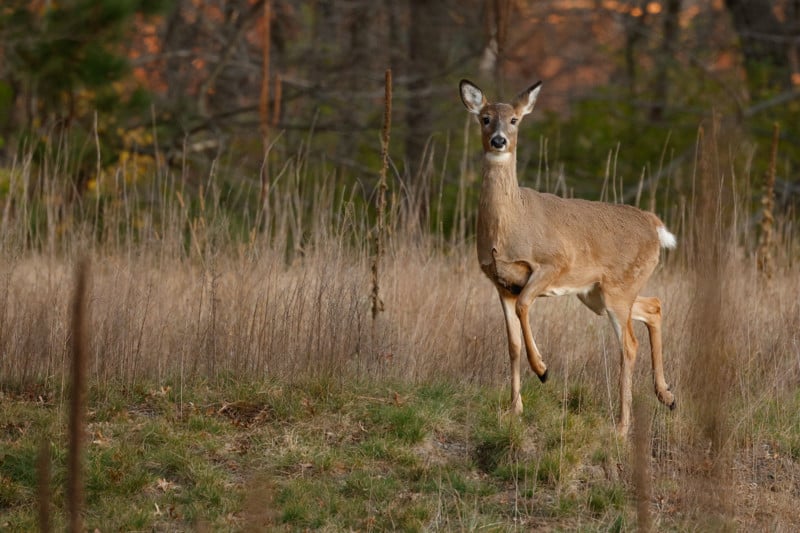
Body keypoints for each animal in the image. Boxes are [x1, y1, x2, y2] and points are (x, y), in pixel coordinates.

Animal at [460, 80, 680, 436]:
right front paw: (514, 409)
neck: (509, 225)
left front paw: (543, 369)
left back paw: (622, 427)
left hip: (617, 288)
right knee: (654, 306)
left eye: (515, 120)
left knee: (629, 344)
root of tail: (654, 225)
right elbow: (512, 344)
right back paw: (667, 396)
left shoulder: (553, 263)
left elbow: (525, 307)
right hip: (597, 293)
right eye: (485, 118)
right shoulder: (500, 284)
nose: (499, 141)